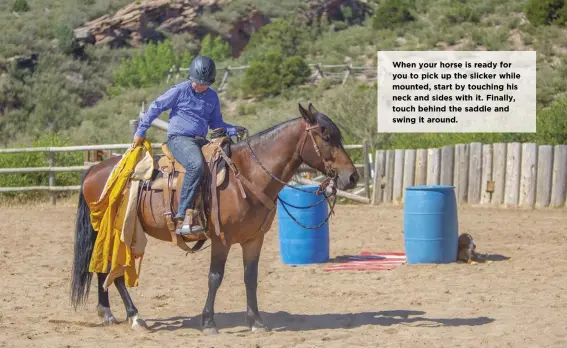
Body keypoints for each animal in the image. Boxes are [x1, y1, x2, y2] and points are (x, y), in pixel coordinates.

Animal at [70, 102, 360, 334]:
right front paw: (208, 322)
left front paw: (256, 322)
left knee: (103, 269)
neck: (247, 174)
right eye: (326, 136)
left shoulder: (253, 239)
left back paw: (108, 313)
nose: (352, 176)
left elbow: (250, 278)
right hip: (117, 231)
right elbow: (215, 277)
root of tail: (94, 169)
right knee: (115, 273)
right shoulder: (222, 238)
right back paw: (135, 317)